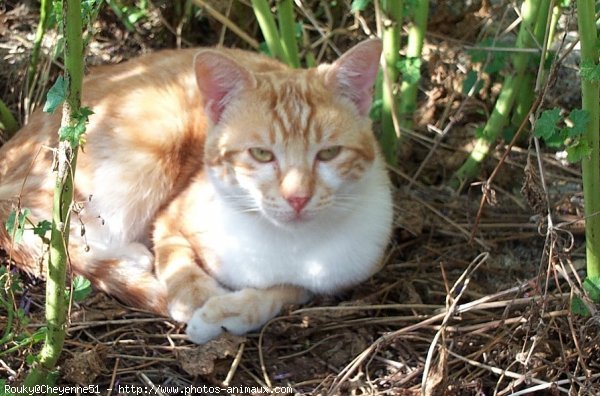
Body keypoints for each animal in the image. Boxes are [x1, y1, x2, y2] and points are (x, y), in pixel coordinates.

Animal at [0, 39, 394, 344]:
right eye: (261, 154)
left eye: (329, 153)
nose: (297, 198)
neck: (281, 242)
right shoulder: (169, 219)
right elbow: (177, 262)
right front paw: (197, 300)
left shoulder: (328, 280)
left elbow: (278, 294)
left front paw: (232, 310)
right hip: (148, 145)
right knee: (46, 224)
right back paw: (129, 255)